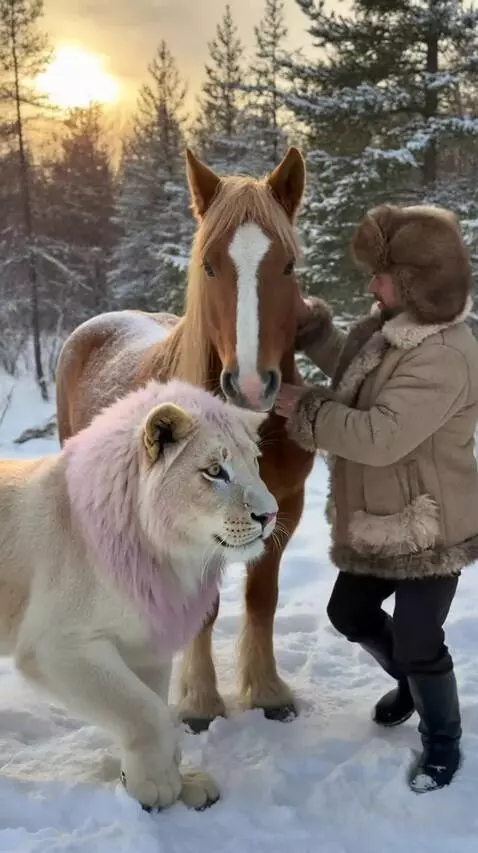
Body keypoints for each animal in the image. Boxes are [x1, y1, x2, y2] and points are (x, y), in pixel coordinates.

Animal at [0, 378, 277, 812]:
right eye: (215, 471)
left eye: (255, 463)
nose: (270, 515)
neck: (165, 558)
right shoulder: (54, 647)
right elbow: (144, 712)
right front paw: (156, 785)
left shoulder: (147, 643)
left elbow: (154, 703)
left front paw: (177, 783)